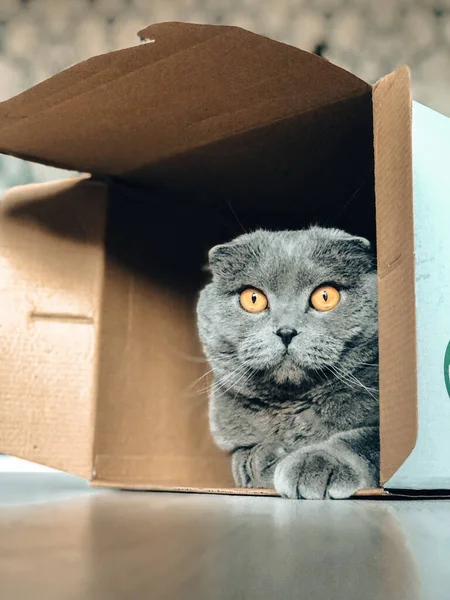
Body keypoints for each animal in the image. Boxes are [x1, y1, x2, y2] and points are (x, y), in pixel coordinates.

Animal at [197, 227, 380, 500]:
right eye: (253, 298)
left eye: (325, 296)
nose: (286, 331)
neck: (291, 408)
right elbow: (242, 458)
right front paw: (266, 459)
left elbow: (367, 440)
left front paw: (315, 463)